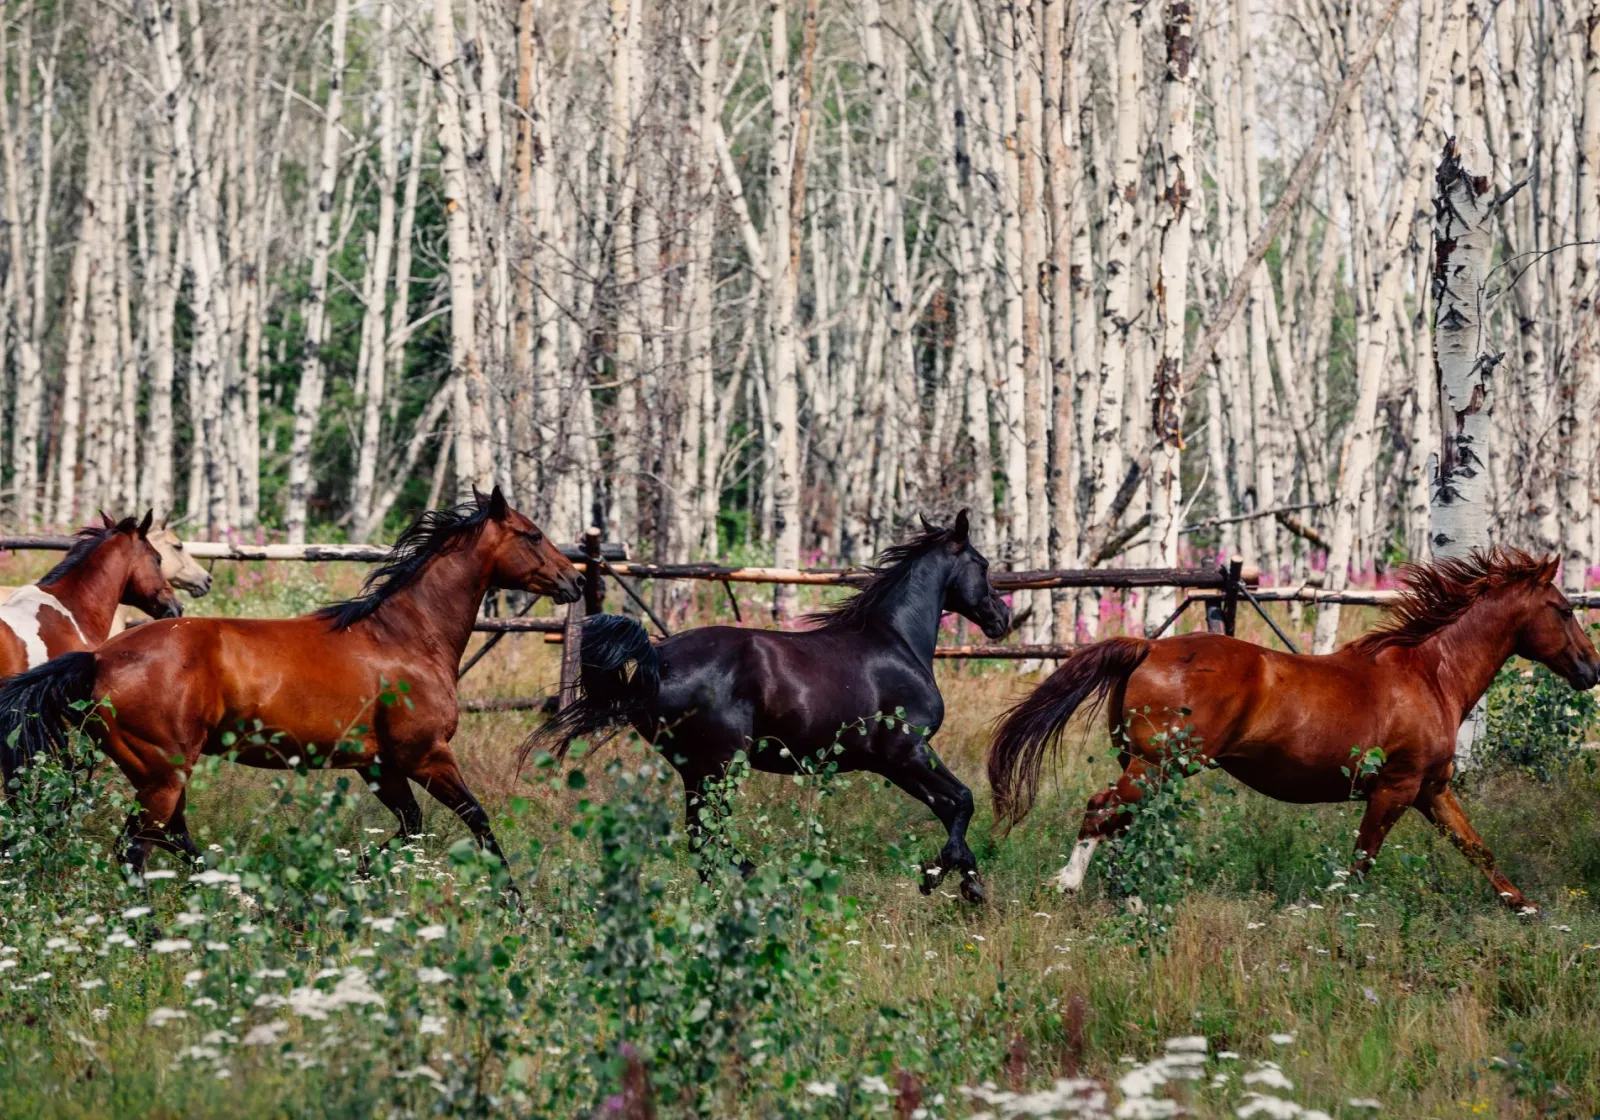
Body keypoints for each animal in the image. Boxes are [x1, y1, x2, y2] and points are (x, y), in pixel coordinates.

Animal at [522, 510, 1012, 902]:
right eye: (984, 565)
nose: (1002, 618)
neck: (896, 642)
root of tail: (657, 659)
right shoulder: (904, 754)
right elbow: (962, 801)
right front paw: (941, 876)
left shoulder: (901, 759)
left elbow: (953, 804)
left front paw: (966, 882)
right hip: (721, 764)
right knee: (705, 834)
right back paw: (753, 881)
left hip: (695, 768)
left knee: (699, 834)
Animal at [987, 549, 1600, 914]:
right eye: (1563, 609)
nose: (1592, 670)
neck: (1430, 675)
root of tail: (1148, 646)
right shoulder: (1395, 789)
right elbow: (1362, 859)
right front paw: (1344, 912)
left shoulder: (1431, 788)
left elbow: (1477, 847)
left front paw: (1522, 905)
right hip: (1160, 765)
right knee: (1101, 810)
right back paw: (1069, 885)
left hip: (1149, 767)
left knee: (1124, 824)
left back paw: (1132, 901)